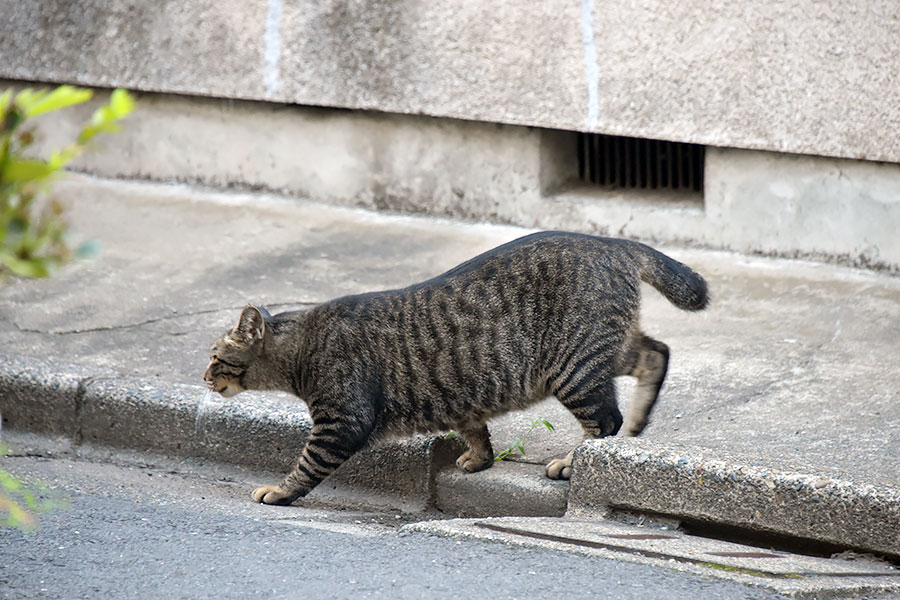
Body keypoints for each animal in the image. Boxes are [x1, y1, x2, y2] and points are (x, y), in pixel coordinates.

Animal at [206, 232, 712, 504]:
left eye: (213, 355)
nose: (205, 377)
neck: (300, 346)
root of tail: (611, 242)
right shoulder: (458, 394)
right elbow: (475, 428)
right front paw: (479, 458)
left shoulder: (340, 422)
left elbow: (306, 464)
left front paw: (280, 491)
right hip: (601, 354)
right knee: (656, 354)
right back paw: (637, 424)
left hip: (575, 369)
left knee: (605, 422)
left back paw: (574, 462)